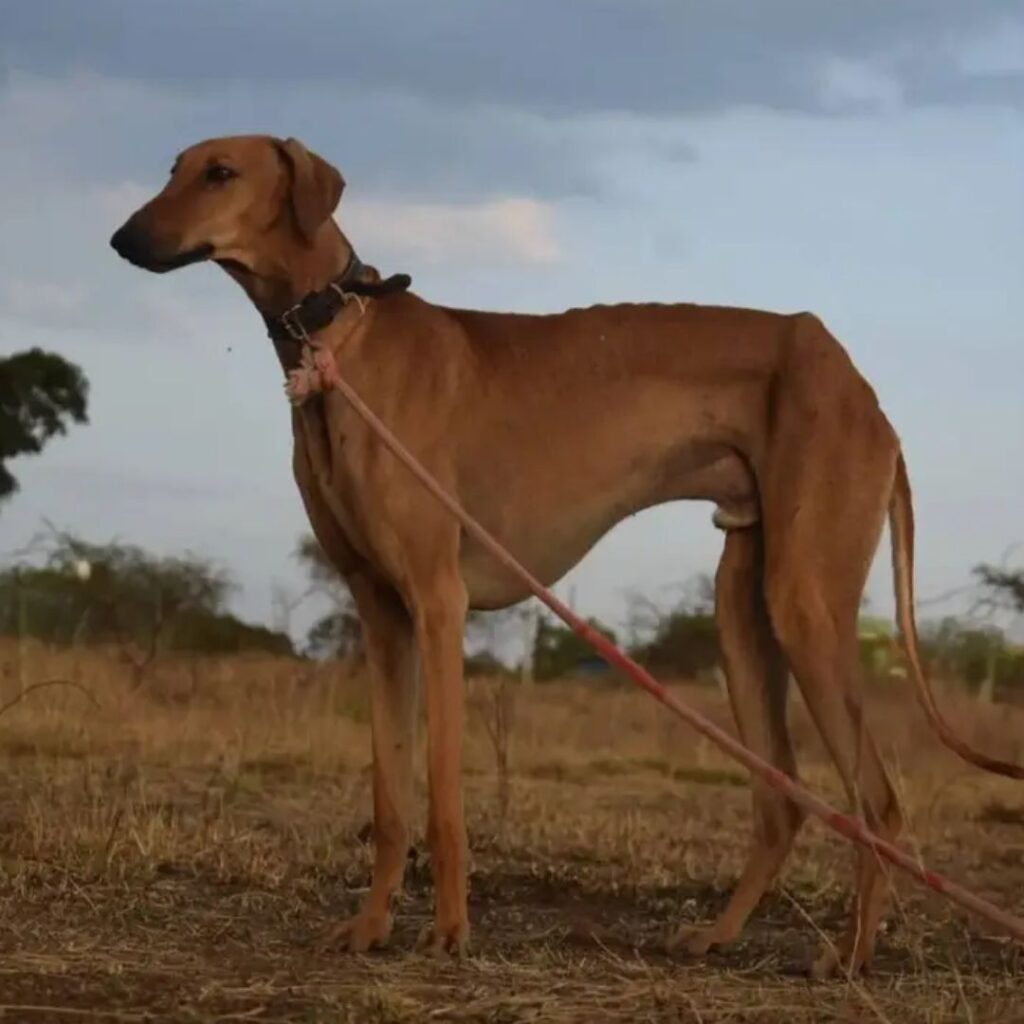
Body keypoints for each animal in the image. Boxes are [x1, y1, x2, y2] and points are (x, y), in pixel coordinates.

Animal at [112, 136, 1024, 974]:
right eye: (172, 168)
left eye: (220, 173)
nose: (122, 240)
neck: (342, 339)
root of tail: (859, 384)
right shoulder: (380, 612)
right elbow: (390, 793)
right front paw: (370, 929)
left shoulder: (437, 604)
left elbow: (442, 796)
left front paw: (450, 934)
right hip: (744, 607)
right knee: (782, 801)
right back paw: (720, 935)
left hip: (804, 602)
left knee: (878, 803)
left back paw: (851, 955)